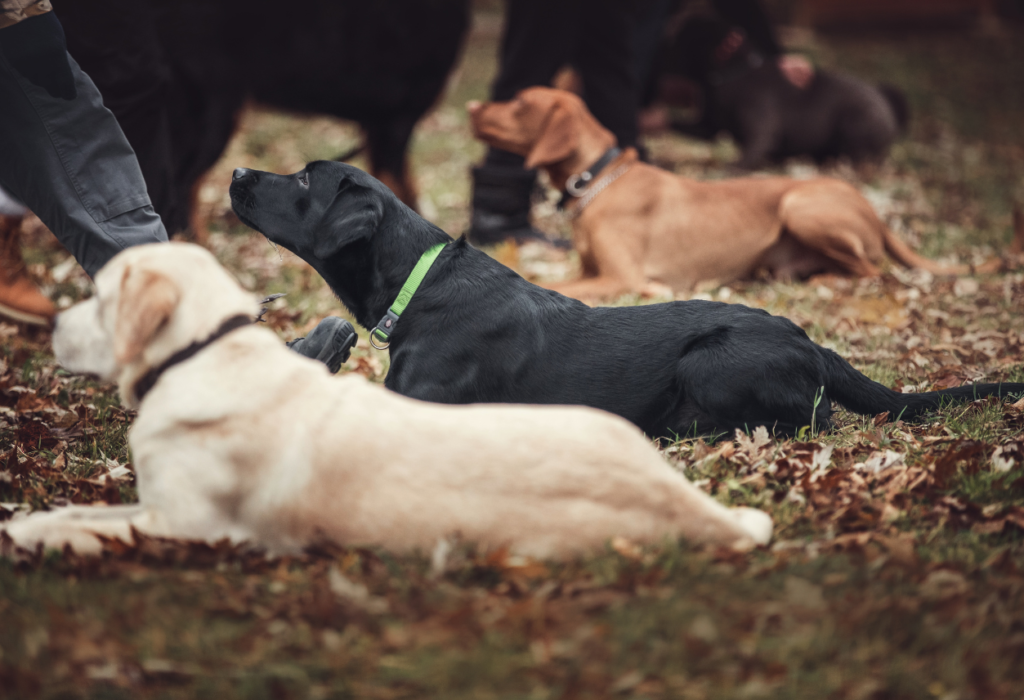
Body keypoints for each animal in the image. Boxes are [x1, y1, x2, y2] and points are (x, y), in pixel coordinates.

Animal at [0, 243, 770, 560]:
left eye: (101, 296)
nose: (54, 328)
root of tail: (686, 505)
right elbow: (76, 512)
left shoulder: (195, 525)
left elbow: (89, 527)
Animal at [228, 161, 1019, 440]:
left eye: (304, 181)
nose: (236, 172)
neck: (420, 283)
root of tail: (812, 341)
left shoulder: (420, 404)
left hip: (713, 361)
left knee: (807, 420)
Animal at [466, 87, 1007, 300]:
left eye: (520, 102)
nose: (471, 106)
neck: (598, 181)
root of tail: (873, 210)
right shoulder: (592, 270)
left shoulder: (621, 276)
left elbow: (549, 284)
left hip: (800, 204)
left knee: (875, 271)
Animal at [655, 14, 905, 167]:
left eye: (679, 41)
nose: (662, 46)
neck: (734, 72)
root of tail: (887, 101)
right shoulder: (708, 127)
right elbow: (679, 124)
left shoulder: (760, 130)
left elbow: (750, 152)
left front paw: (734, 168)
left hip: (856, 123)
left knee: (863, 156)